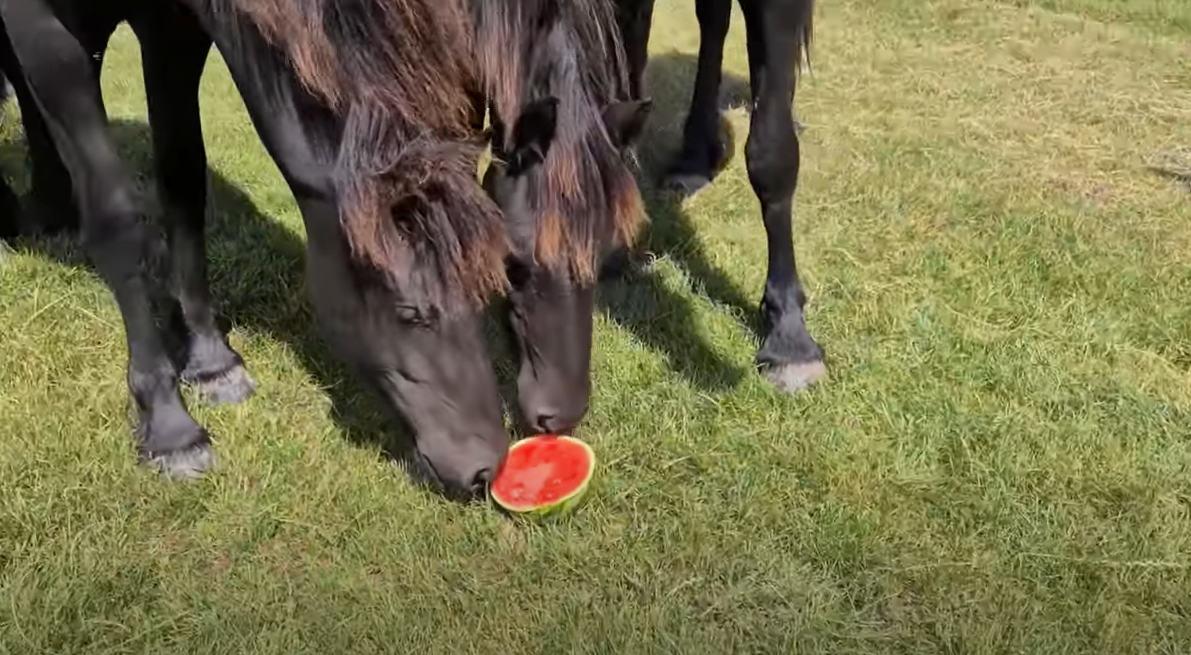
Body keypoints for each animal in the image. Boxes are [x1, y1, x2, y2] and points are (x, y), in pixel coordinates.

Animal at [0, 0, 647, 497]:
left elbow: (182, 180)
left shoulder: (171, 27)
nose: (486, 468)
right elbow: (116, 219)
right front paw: (170, 426)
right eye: (517, 269)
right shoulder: (43, 28)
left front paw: (211, 361)